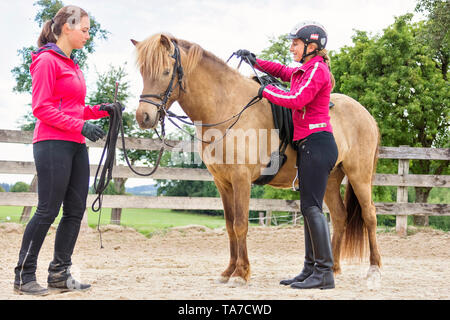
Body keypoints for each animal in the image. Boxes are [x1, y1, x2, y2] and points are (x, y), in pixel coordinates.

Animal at [132, 33, 382, 286]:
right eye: (142, 72)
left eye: (165, 71)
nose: (144, 117)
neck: (227, 107)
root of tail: (367, 115)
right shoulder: (223, 183)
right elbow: (230, 226)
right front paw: (228, 271)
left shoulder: (241, 179)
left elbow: (241, 224)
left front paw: (240, 274)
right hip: (329, 180)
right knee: (339, 217)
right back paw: (335, 269)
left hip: (359, 176)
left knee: (369, 215)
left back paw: (374, 269)